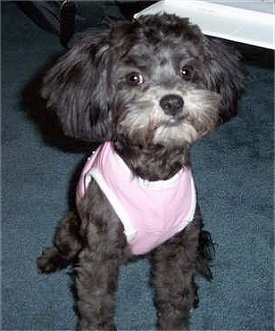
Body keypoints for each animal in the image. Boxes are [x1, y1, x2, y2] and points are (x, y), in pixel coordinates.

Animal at [36, 13, 244, 331]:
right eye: (134, 77)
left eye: (187, 71)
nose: (172, 101)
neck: (153, 172)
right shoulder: (100, 253)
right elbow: (96, 306)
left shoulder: (180, 243)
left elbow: (175, 296)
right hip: (71, 224)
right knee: (66, 245)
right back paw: (52, 259)